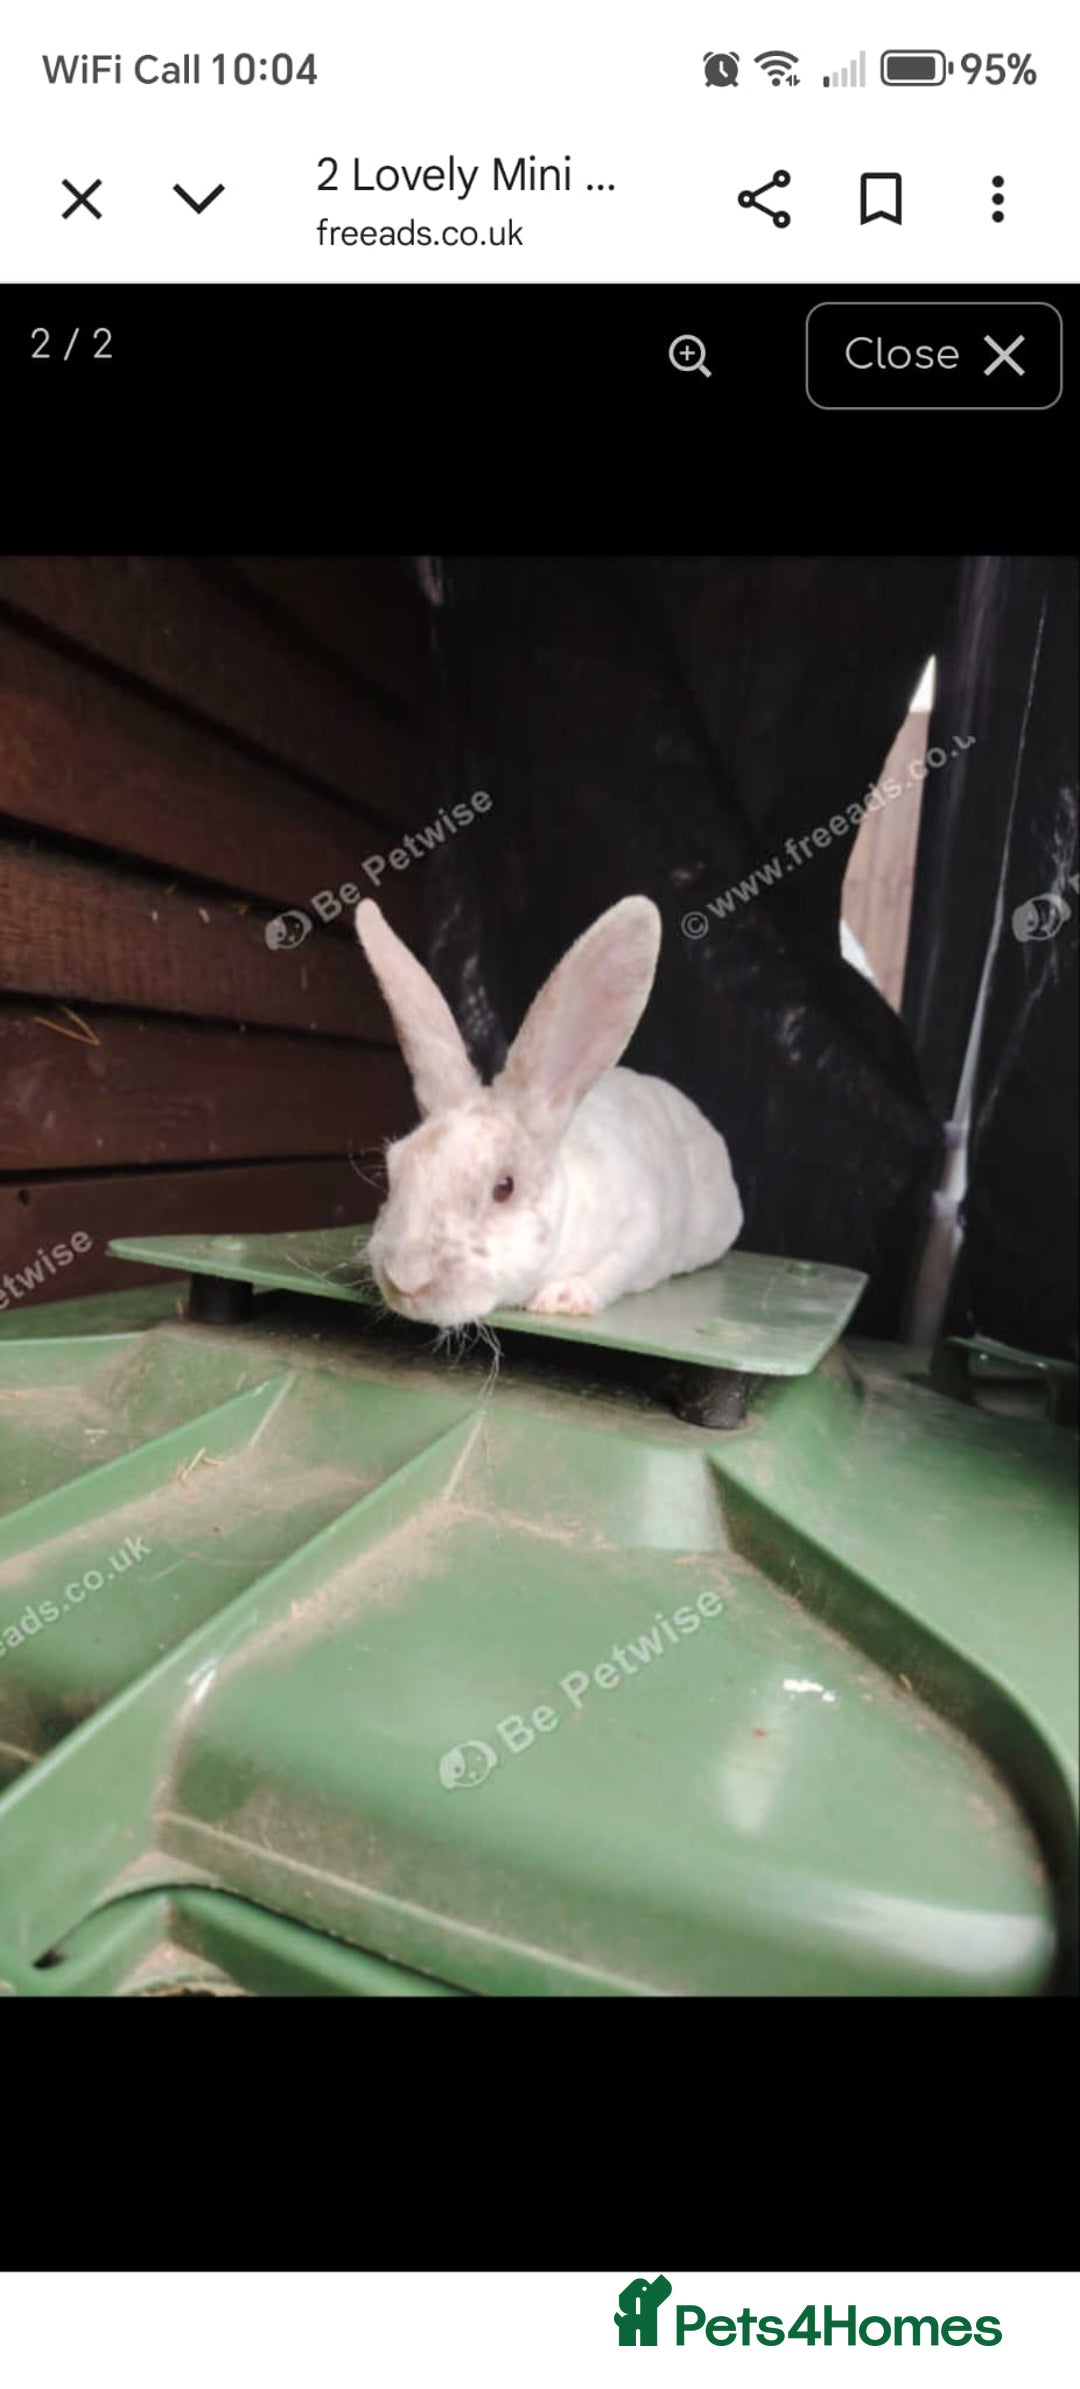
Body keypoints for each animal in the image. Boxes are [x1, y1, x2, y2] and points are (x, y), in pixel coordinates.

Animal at [354, 892, 742, 1328]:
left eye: (504, 1187)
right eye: (394, 1169)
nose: (405, 1279)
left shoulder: (640, 1226)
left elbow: (617, 1266)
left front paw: (563, 1298)